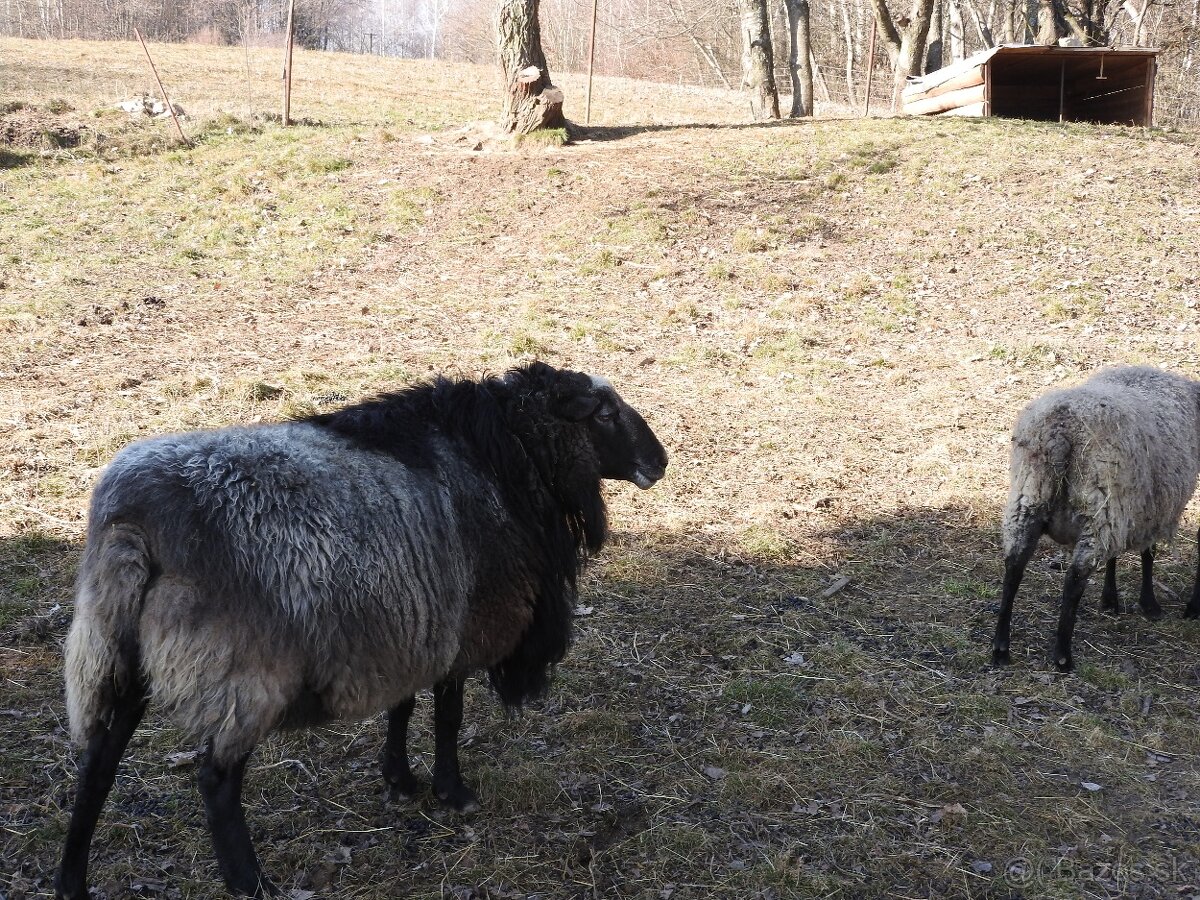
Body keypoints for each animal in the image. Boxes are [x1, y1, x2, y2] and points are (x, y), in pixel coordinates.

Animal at [56, 362, 672, 897]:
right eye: (603, 413)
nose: (660, 460)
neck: (505, 458)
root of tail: (131, 523)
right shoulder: (464, 625)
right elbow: (449, 714)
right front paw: (453, 792)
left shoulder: (412, 623)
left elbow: (403, 704)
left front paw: (398, 779)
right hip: (243, 671)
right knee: (216, 778)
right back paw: (249, 881)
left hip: (116, 653)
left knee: (98, 763)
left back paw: (71, 882)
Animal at [988, 364, 1200, 672]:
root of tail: (1060, 428)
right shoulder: (1148, 509)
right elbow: (1148, 554)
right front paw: (1148, 604)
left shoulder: (1130, 508)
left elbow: (1120, 555)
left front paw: (1110, 600)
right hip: (1098, 505)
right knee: (1074, 579)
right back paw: (1063, 656)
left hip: (1028, 499)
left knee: (1014, 568)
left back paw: (1001, 648)